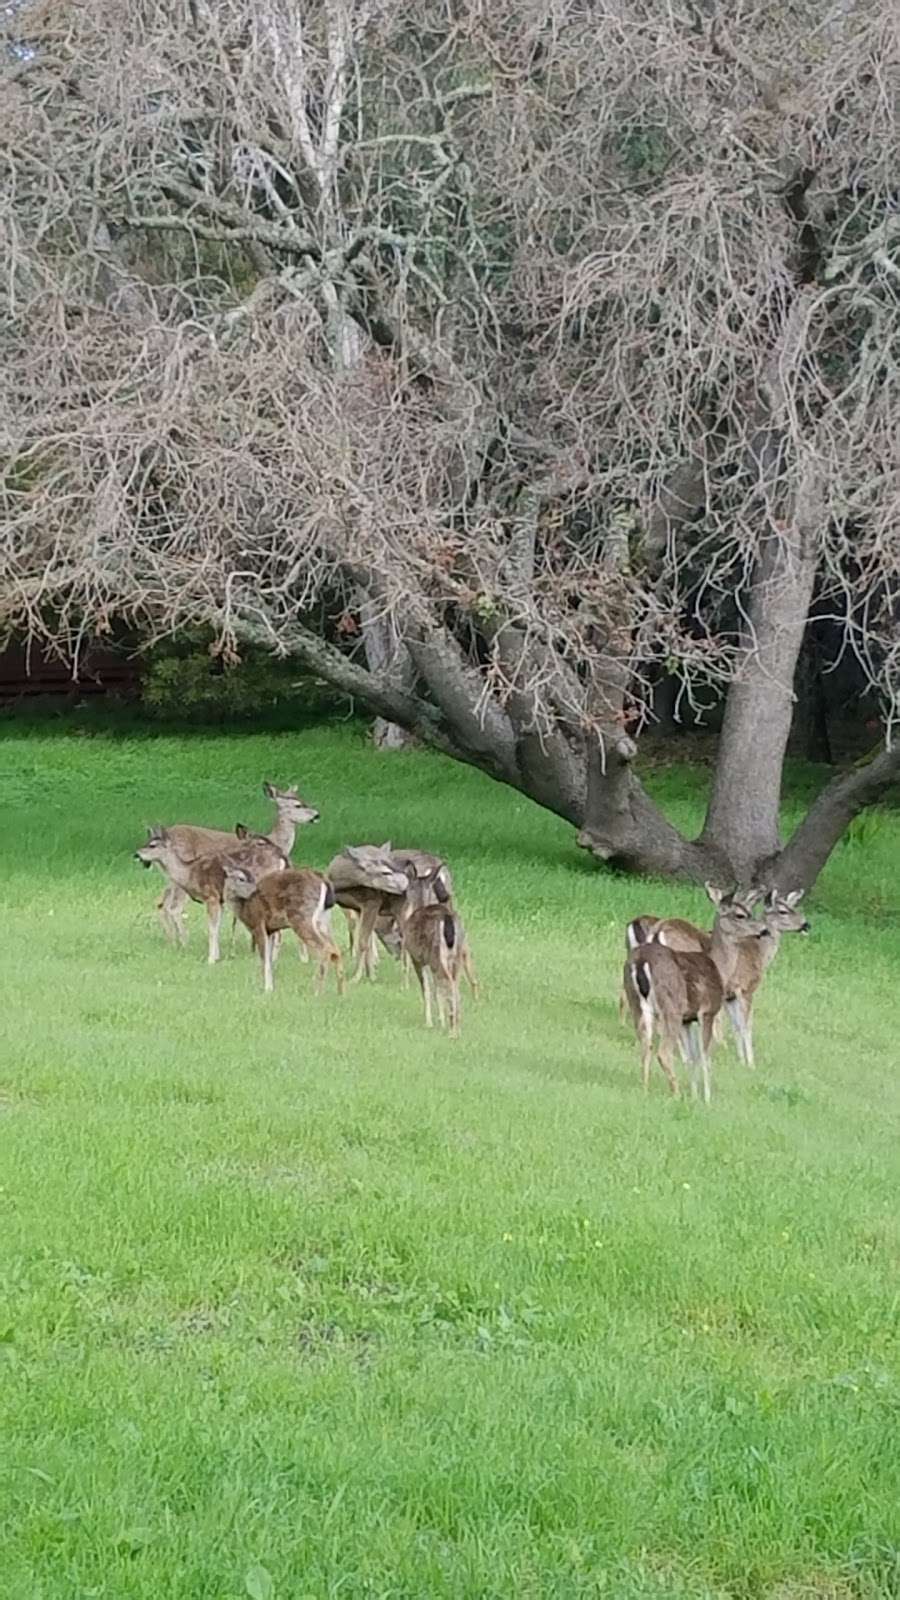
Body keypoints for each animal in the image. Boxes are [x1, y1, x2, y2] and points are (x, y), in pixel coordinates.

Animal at [132, 825, 285, 960]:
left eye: (152, 845)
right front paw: (217, 956)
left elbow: (211, 928)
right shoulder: (220, 900)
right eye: (147, 841)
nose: (136, 854)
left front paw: (211, 959)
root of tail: (282, 860)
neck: (190, 872)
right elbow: (217, 928)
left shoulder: (211, 896)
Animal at [220, 857, 342, 992]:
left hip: (301, 916)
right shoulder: (270, 930)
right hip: (324, 920)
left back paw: (317, 991)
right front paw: (268, 986)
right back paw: (340, 992)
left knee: (325, 949)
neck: (244, 908)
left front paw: (267, 988)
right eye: (241, 878)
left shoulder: (258, 924)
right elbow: (269, 959)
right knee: (336, 950)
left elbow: (264, 959)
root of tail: (323, 881)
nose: (256, 890)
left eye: (252, 877)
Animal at [624, 889, 762, 1100]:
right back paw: (676, 1094)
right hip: (670, 1006)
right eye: (740, 914)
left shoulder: (687, 1020)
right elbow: (704, 1056)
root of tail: (641, 962)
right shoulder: (707, 1011)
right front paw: (706, 1099)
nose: (763, 929)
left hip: (637, 1003)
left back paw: (645, 1089)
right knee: (663, 1052)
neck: (719, 968)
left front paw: (696, 1095)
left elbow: (691, 1057)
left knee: (645, 1044)